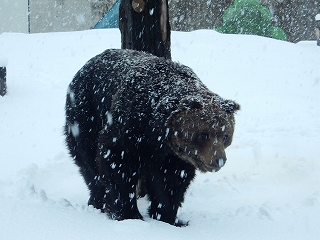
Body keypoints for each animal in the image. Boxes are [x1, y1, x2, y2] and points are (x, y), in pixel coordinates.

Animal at [64, 49, 240, 227]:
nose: (219, 159)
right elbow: (117, 165)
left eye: (225, 135)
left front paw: (168, 218)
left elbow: (170, 182)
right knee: (88, 160)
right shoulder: (129, 128)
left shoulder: (173, 156)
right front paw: (129, 215)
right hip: (86, 115)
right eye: (204, 134)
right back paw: (98, 201)